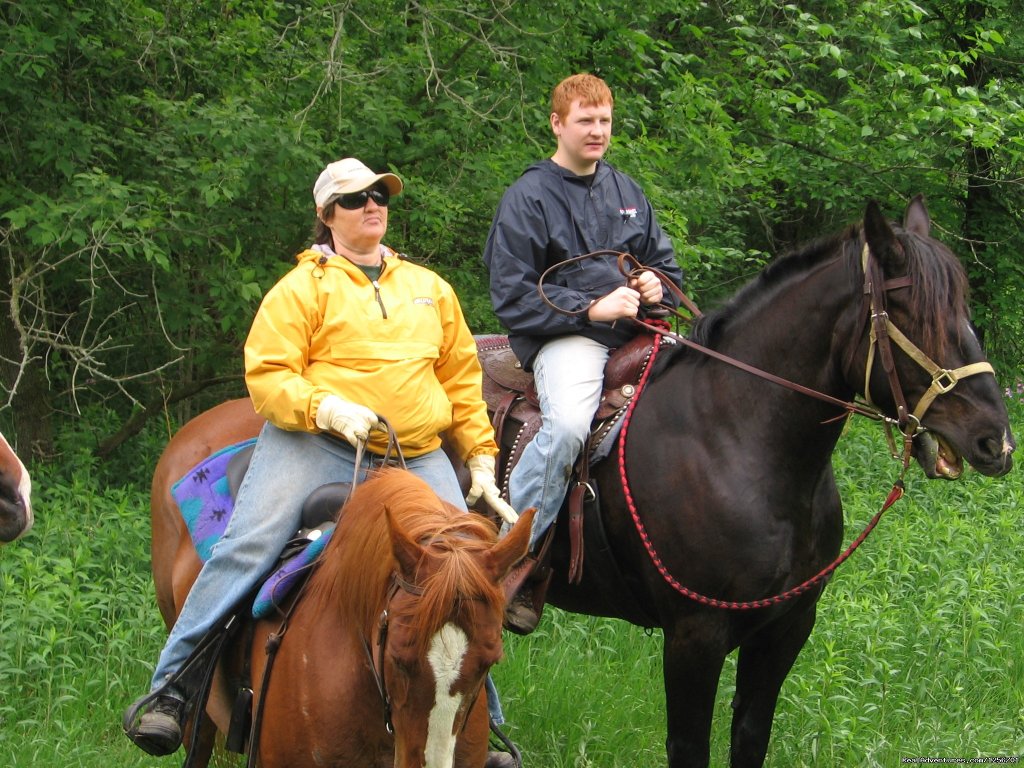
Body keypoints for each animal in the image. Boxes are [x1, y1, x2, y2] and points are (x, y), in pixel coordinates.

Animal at [483, 195, 1011, 765]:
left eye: (963, 309)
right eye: (912, 312)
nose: (996, 441)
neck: (734, 439)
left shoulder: (789, 626)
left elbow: (752, 734)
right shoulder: (694, 636)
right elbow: (689, 745)